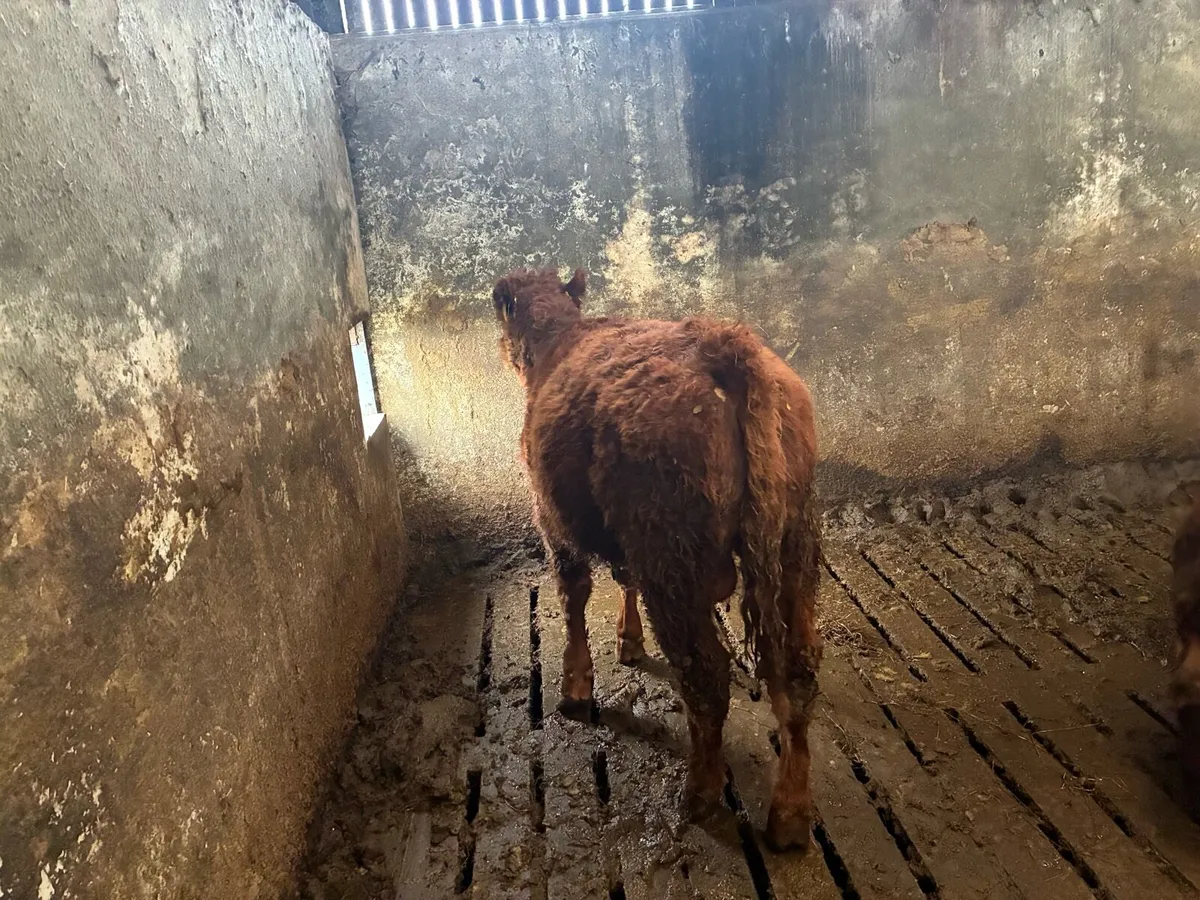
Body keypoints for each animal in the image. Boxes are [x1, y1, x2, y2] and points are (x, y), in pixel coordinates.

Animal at [491, 267, 822, 853]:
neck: (559, 339)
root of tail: (722, 343)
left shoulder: (554, 522)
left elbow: (573, 599)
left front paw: (574, 688)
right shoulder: (627, 542)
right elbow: (623, 580)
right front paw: (629, 642)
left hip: (673, 562)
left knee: (707, 677)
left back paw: (699, 792)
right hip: (793, 548)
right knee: (797, 676)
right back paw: (788, 813)